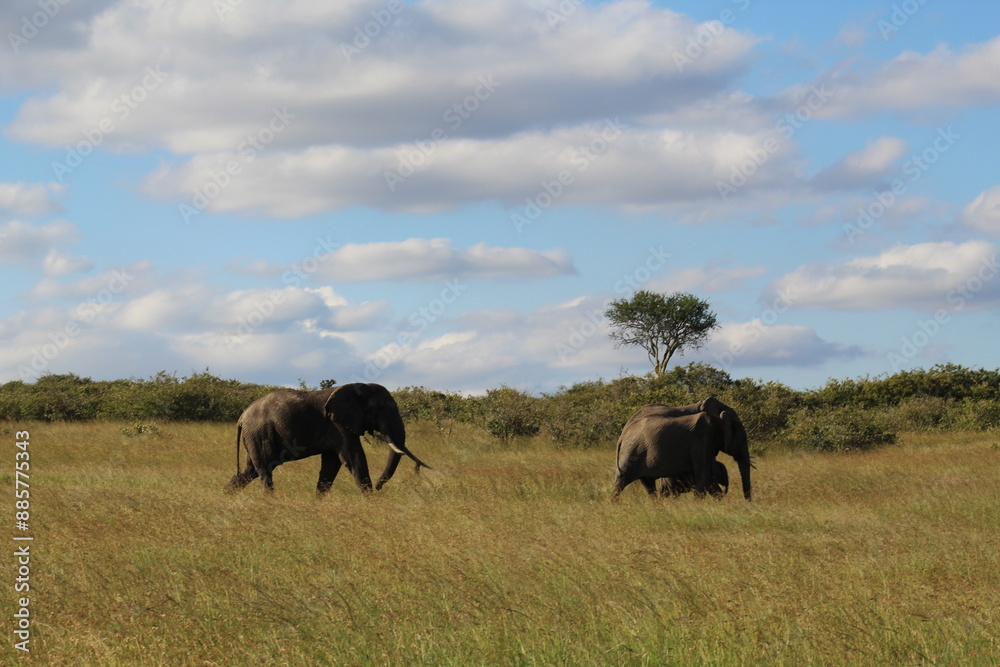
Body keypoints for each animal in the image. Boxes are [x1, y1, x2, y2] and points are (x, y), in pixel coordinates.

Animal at [224, 382, 431, 495]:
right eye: (379, 408)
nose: (380, 487)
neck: (357, 387)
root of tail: (242, 417)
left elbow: (332, 464)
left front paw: (318, 502)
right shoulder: (338, 425)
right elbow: (353, 458)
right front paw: (371, 500)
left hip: (255, 436)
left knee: (251, 470)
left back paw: (226, 495)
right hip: (260, 433)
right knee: (265, 469)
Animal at [611, 397, 752, 501]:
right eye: (742, 438)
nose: (747, 503)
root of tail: (622, 436)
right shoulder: (702, 439)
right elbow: (704, 474)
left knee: (648, 485)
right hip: (632, 453)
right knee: (622, 481)